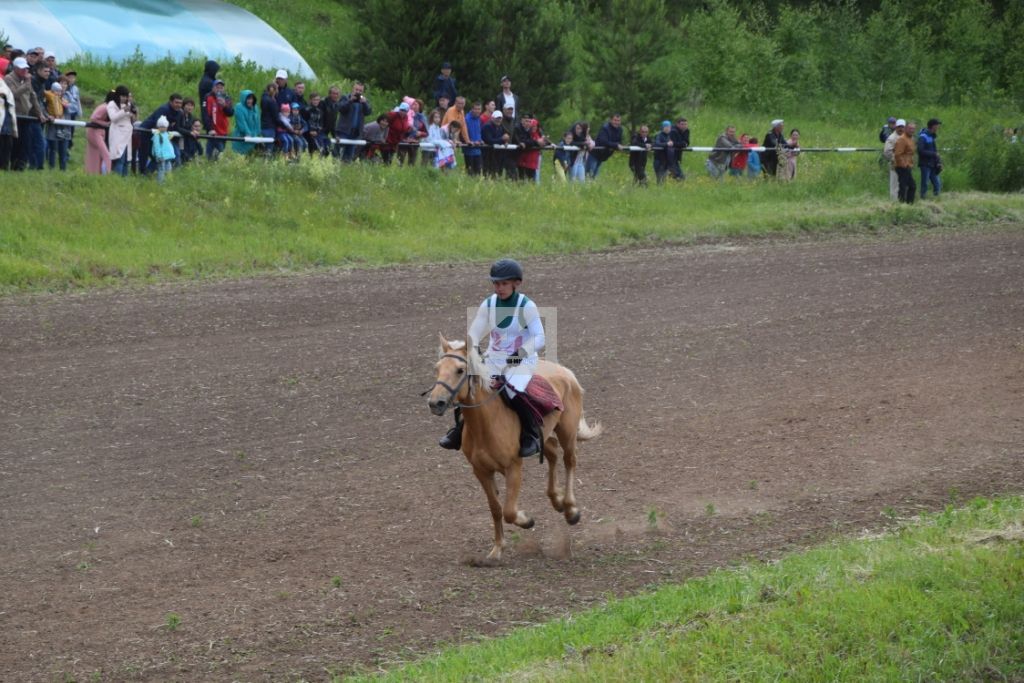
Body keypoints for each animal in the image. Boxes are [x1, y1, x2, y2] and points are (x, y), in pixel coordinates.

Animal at [428, 333, 602, 565]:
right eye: (437, 368)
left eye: (459, 370)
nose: (435, 403)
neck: (486, 424)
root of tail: (565, 372)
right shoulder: (481, 471)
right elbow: (495, 508)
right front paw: (497, 549)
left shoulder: (513, 467)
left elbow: (509, 511)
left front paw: (526, 520)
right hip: (545, 434)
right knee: (553, 453)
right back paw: (556, 500)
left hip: (568, 430)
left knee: (569, 461)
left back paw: (570, 509)